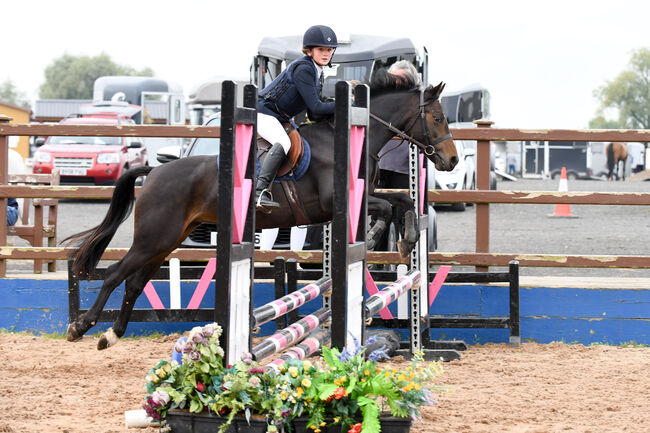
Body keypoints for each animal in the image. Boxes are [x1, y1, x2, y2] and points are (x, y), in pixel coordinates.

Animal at [64, 71, 456, 348]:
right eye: (438, 118)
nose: (451, 160)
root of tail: (154, 170)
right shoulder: (335, 203)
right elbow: (387, 208)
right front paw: (383, 240)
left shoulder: (366, 195)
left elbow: (402, 201)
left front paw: (406, 242)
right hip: (153, 238)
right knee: (115, 274)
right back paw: (81, 326)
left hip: (165, 241)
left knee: (134, 282)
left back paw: (112, 334)